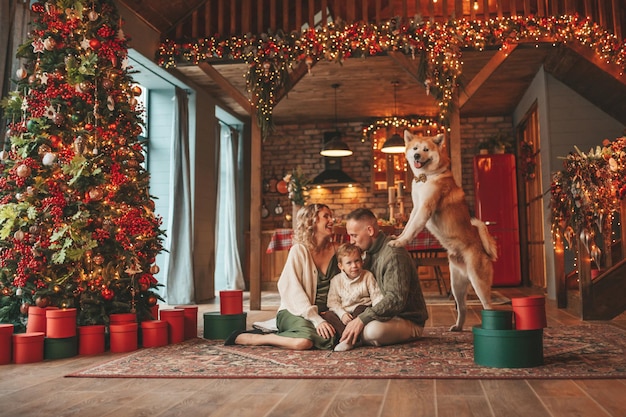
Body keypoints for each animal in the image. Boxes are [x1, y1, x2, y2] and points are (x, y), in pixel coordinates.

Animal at [388, 131, 494, 332]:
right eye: (415, 148)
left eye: (426, 149)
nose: (416, 156)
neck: (427, 177)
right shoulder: (415, 208)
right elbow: (407, 226)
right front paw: (398, 236)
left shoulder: (424, 208)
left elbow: (412, 229)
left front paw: (399, 242)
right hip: (456, 284)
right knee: (463, 307)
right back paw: (458, 327)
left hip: (478, 283)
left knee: (488, 307)